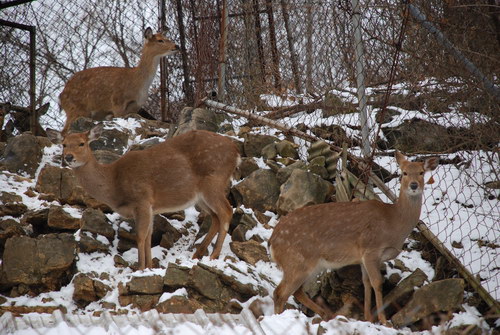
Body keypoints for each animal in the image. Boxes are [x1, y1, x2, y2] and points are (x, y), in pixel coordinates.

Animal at [47, 126, 240, 270]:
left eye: (82, 143)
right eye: (64, 144)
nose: (68, 157)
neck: (113, 182)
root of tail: (236, 153)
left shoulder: (142, 200)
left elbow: (140, 236)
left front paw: (140, 268)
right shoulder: (151, 207)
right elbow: (148, 235)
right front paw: (149, 266)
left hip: (213, 181)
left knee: (226, 211)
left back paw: (214, 255)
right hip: (200, 196)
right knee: (215, 216)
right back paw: (198, 254)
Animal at [270, 152, 438, 326]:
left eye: (421, 172)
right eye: (404, 173)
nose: (414, 185)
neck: (394, 223)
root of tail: (272, 241)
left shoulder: (363, 257)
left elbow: (366, 283)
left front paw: (368, 317)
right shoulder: (371, 249)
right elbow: (377, 283)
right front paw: (383, 321)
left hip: (307, 265)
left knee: (297, 291)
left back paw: (325, 314)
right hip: (296, 261)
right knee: (280, 293)